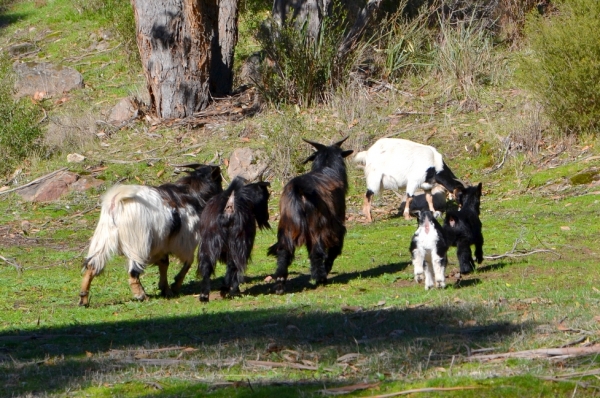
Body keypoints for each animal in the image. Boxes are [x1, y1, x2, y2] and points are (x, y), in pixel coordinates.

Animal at [78, 163, 221, 306]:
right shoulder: (185, 241)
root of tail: (116, 201)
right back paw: (142, 295)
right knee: (133, 272)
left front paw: (166, 289)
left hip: (103, 239)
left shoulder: (162, 244)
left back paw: (83, 299)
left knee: (91, 266)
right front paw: (175, 285)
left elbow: (164, 264)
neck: (192, 194)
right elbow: (187, 263)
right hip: (138, 243)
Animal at [266, 137, 352, 292]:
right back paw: (320, 278)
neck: (327, 169)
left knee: (284, 251)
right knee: (316, 252)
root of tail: (299, 187)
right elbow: (333, 249)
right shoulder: (336, 226)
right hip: (317, 226)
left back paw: (280, 283)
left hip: (288, 225)